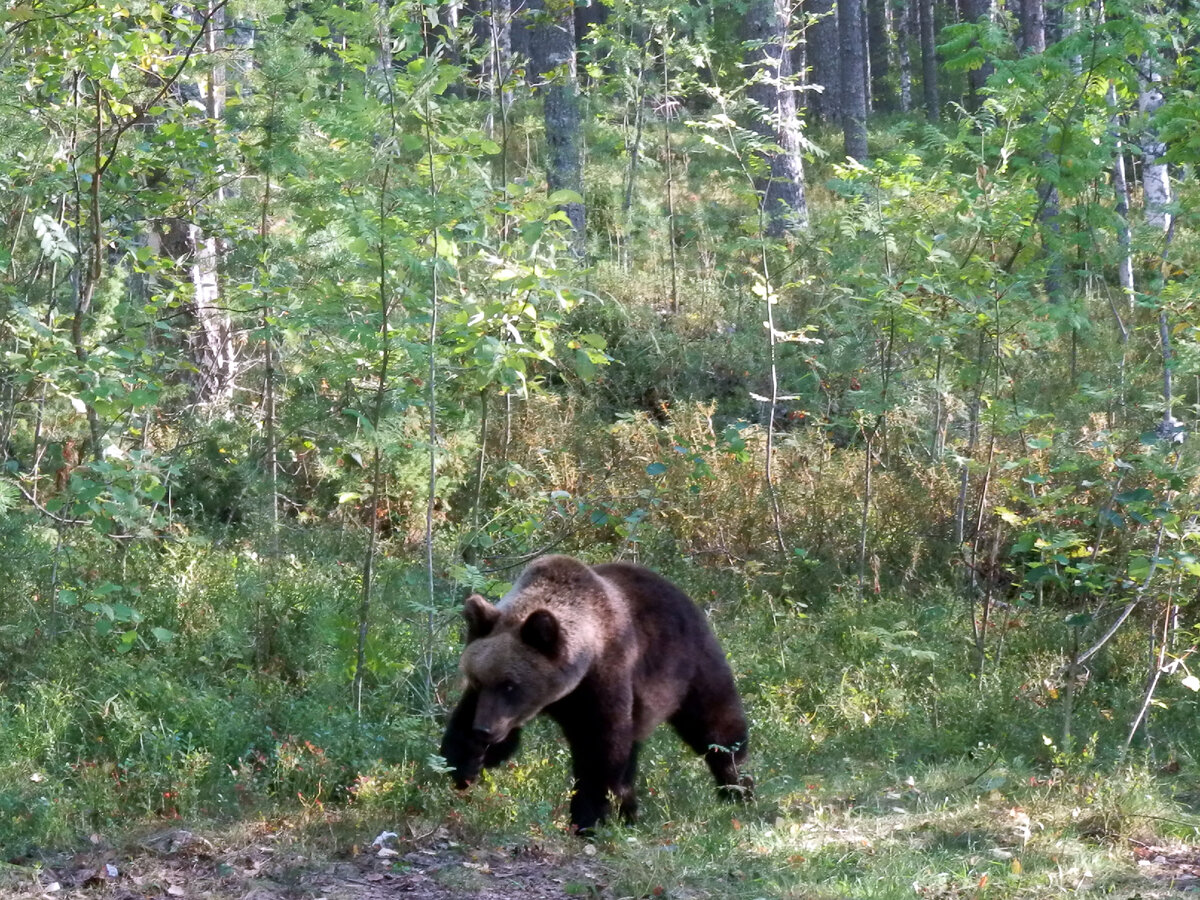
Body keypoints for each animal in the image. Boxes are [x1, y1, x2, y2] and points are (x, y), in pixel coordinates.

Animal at [436, 554, 748, 835]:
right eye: (478, 680)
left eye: (511, 685)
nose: (484, 730)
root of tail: (680, 592)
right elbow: (464, 729)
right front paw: (463, 767)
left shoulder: (603, 681)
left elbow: (599, 751)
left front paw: (586, 819)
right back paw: (630, 812)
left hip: (692, 667)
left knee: (717, 728)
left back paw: (737, 788)